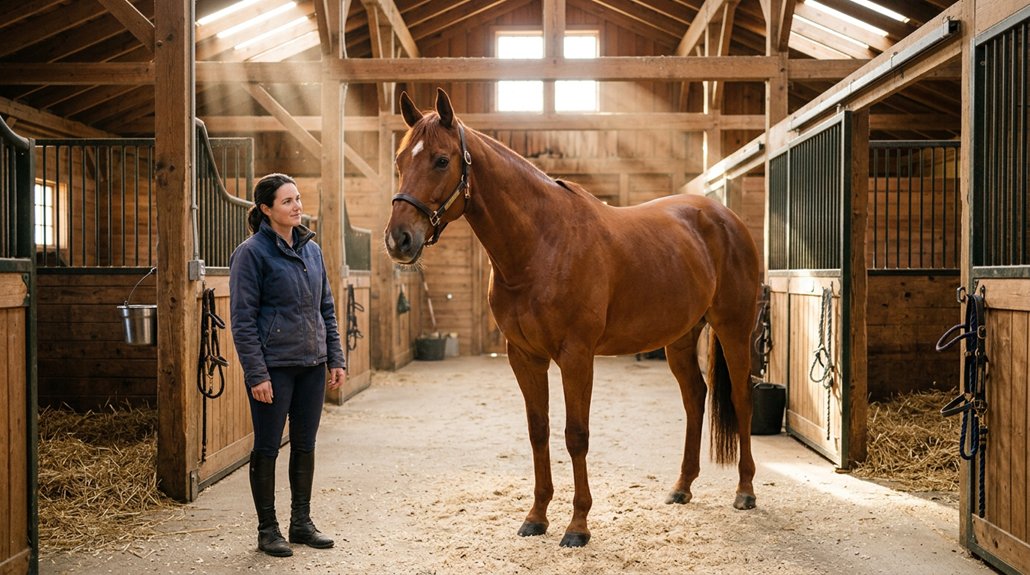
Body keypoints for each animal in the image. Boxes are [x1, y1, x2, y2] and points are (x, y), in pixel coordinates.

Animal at [385, 88, 762, 548]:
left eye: (441, 160)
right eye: (399, 161)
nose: (399, 239)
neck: (542, 245)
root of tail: (725, 218)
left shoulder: (577, 356)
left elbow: (575, 435)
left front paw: (578, 525)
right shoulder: (524, 356)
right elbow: (539, 432)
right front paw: (536, 516)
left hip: (733, 328)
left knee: (741, 399)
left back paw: (745, 491)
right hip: (681, 337)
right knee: (695, 397)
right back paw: (682, 487)